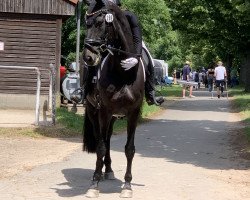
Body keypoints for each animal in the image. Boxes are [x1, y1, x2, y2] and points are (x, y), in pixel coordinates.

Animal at [82, 0, 145, 198]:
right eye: (86, 25)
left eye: (99, 23)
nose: (88, 57)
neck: (123, 73)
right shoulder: (104, 111)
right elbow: (100, 147)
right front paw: (94, 184)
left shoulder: (134, 113)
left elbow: (129, 149)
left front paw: (127, 185)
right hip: (94, 112)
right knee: (101, 140)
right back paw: (99, 172)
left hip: (113, 118)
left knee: (108, 138)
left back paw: (108, 170)